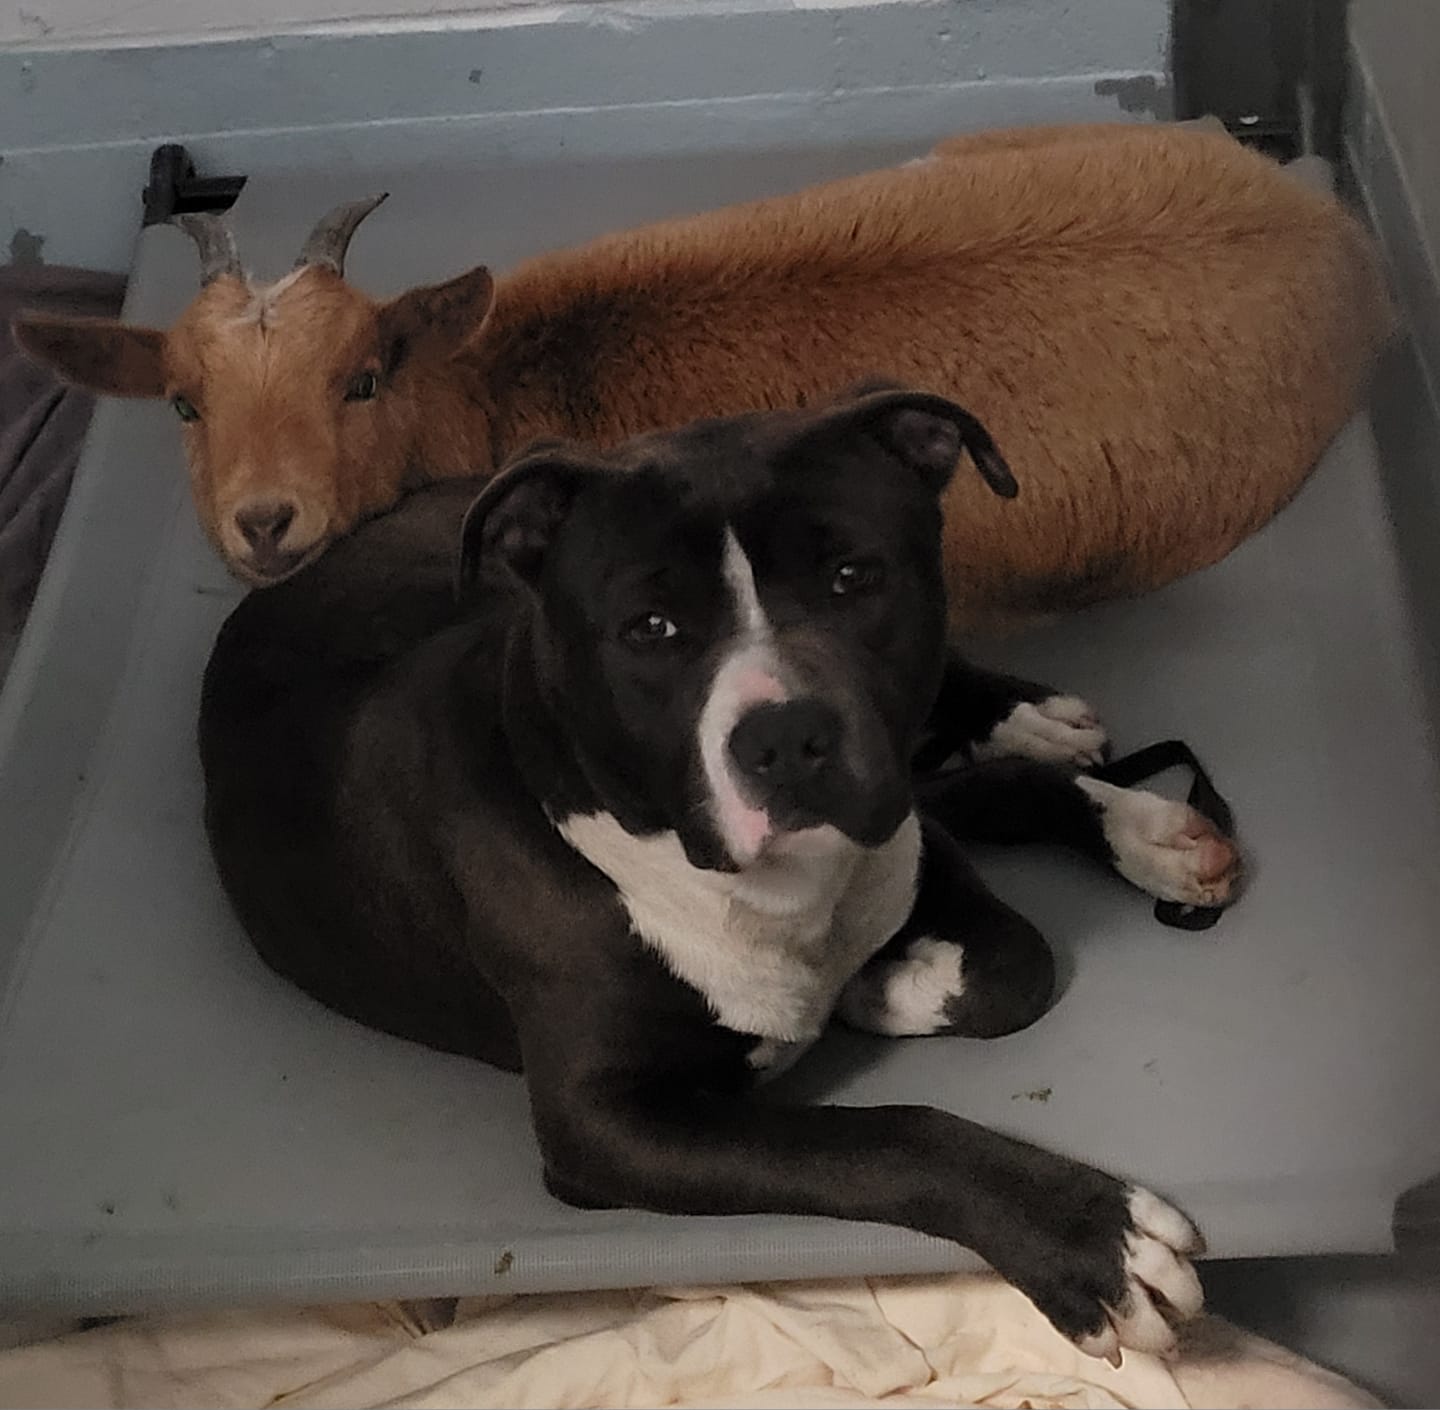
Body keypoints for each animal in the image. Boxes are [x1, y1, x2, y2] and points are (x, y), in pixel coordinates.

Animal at [200, 385, 1238, 1365]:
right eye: (649, 628)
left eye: (854, 577)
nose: (785, 736)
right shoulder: (608, 1126)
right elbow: (884, 1133)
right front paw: (1091, 1238)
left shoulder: (900, 836)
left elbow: (1017, 963)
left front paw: (883, 982)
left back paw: (1102, 785)